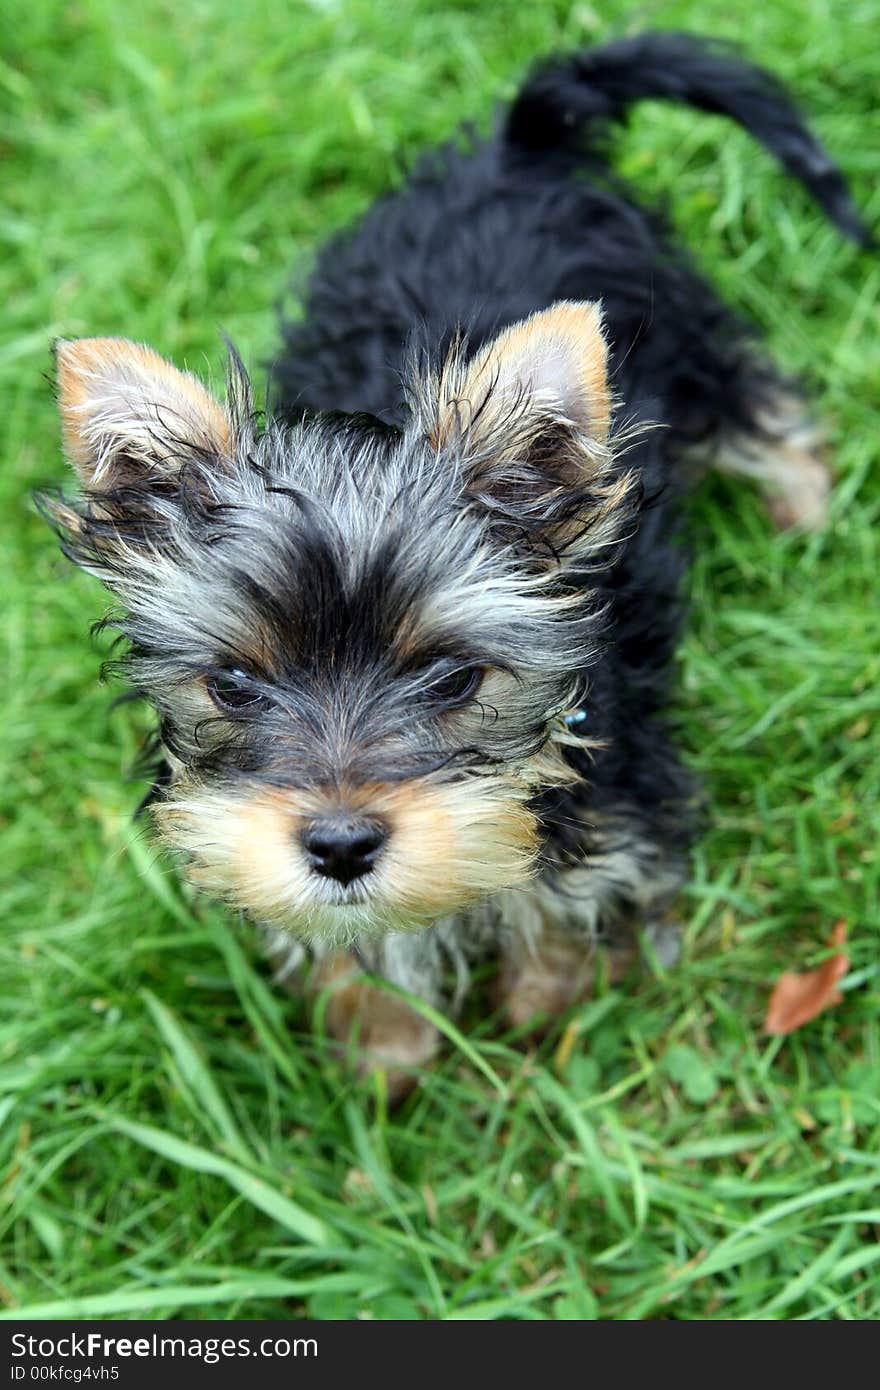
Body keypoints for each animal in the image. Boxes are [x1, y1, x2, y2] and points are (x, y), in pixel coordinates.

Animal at [44, 35, 867, 1095]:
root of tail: (513, 150)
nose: (340, 844)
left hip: (682, 335)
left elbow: (563, 899)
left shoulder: (617, 799)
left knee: (752, 398)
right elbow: (351, 947)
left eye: (454, 678)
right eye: (232, 686)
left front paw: (541, 1005)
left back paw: (802, 501)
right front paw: (384, 1052)